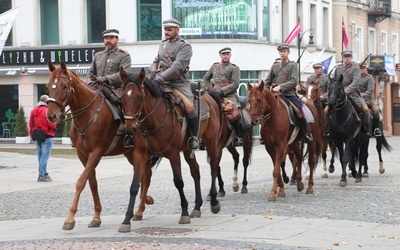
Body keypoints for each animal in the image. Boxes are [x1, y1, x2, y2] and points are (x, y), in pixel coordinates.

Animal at [45, 60, 153, 230]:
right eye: (49, 86)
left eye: (64, 86)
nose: (52, 115)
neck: (88, 113)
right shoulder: (83, 154)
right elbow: (92, 182)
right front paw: (96, 216)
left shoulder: (96, 152)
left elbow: (80, 182)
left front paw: (70, 218)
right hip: (130, 153)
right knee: (144, 176)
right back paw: (143, 204)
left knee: (146, 176)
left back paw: (140, 209)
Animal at [118, 69, 225, 232]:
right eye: (122, 97)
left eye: (139, 96)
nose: (129, 128)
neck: (152, 122)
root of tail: (208, 96)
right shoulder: (140, 155)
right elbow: (134, 186)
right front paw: (126, 220)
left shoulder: (173, 154)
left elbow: (178, 182)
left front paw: (184, 213)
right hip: (188, 149)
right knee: (196, 171)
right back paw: (197, 207)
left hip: (211, 142)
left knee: (213, 167)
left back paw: (213, 201)